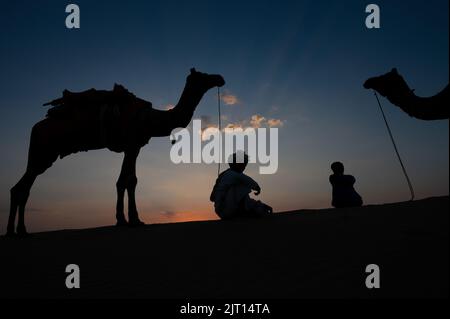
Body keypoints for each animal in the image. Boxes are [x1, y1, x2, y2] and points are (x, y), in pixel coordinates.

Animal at [7, 69, 225, 236]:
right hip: (42, 152)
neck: (150, 119)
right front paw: (128, 220)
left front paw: (129, 219)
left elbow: (127, 181)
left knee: (23, 188)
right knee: (21, 187)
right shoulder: (131, 145)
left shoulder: (134, 148)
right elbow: (127, 181)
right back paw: (12, 231)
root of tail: (35, 128)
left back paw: (21, 230)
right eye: (202, 76)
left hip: (44, 156)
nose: (220, 78)